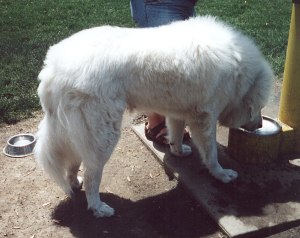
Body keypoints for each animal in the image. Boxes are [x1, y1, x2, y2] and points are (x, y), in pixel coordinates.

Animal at [35, 16, 274, 218]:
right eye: (259, 107)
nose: (260, 124)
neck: (237, 68)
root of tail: (53, 69)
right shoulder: (204, 119)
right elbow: (212, 154)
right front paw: (222, 175)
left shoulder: (180, 112)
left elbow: (176, 134)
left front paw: (179, 152)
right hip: (103, 135)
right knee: (92, 174)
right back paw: (98, 207)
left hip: (76, 132)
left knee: (74, 161)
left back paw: (74, 184)